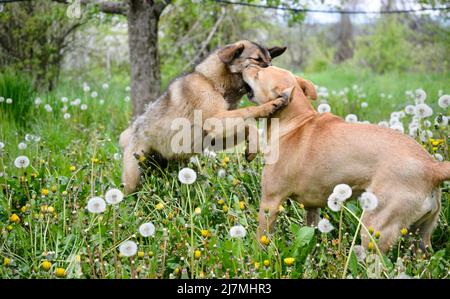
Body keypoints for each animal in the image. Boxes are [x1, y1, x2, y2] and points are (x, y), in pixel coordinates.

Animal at [119, 41, 288, 193]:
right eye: (256, 60)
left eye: (270, 60)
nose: (274, 71)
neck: (212, 83)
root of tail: (132, 132)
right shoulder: (217, 121)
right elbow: (248, 113)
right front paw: (269, 106)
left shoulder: (216, 136)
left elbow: (247, 126)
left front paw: (252, 147)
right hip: (133, 175)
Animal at [243, 65, 450, 253]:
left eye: (258, 73)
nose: (245, 65)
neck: (296, 121)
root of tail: (432, 166)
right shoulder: (312, 207)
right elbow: (310, 232)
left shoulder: (270, 202)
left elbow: (260, 239)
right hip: (420, 237)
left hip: (375, 228)